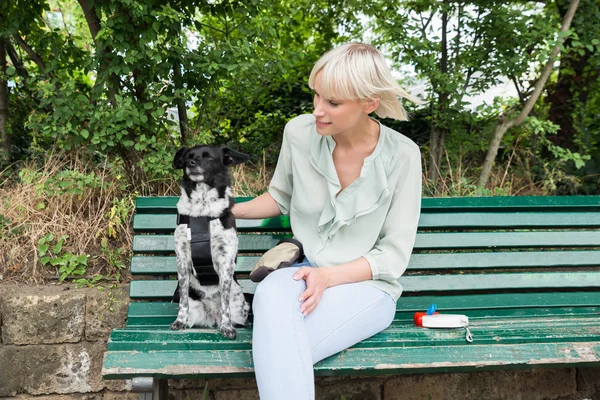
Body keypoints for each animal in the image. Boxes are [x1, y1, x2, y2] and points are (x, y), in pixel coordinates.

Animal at [171, 145, 251, 340]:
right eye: (187, 157)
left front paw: (227, 327)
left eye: (208, 157)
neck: (202, 207)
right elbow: (183, 296)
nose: (191, 164)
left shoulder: (226, 260)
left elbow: (224, 299)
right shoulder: (182, 258)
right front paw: (179, 321)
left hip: (240, 310)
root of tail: (213, 316)